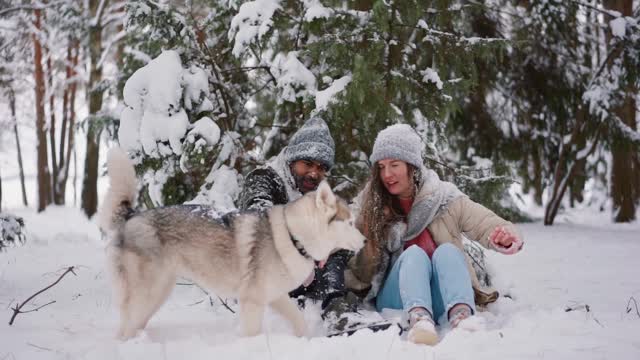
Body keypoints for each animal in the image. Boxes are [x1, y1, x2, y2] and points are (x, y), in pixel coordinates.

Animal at [97, 148, 362, 338]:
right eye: (350, 223)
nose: (365, 240)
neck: (292, 235)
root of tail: (131, 216)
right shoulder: (252, 302)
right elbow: (252, 334)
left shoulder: (274, 297)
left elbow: (299, 321)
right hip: (147, 294)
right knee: (126, 328)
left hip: (157, 295)